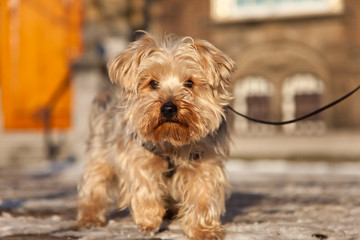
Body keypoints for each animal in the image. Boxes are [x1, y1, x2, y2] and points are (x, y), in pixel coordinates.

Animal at [76, 32, 236, 240]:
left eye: (189, 83)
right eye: (153, 83)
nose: (168, 108)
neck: (171, 142)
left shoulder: (205, 162)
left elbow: (203, 196)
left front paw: (204, 229)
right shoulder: (137, 157)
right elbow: (145, 187)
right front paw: (149, 220)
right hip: (100, 150)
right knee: (95, 183)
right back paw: (90, 218)